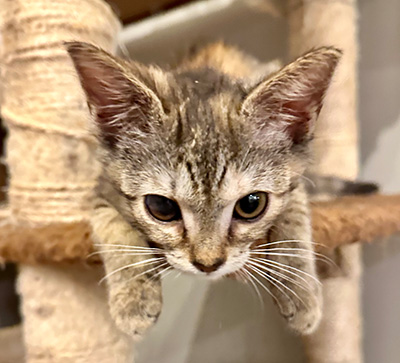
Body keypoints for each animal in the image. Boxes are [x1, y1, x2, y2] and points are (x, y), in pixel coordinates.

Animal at [65, 42, 376, 342]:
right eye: (162, 208)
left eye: (251, 205)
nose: (208, 264)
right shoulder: (102, 184)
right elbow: (112, 226)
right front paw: (133, 298)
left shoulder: (294, 175)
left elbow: (294, 213)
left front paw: (299, 288)